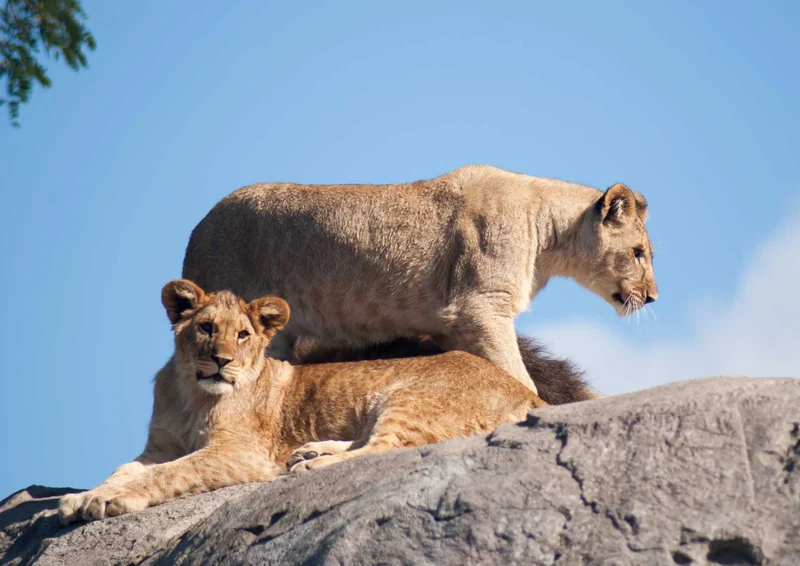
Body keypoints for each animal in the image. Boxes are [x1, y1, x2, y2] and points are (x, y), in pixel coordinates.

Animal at [59, 279, 555, 524]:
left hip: (410, 398)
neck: (190, 393)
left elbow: (169, 473)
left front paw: (111, 501)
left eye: (244, 335)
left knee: (388, 447)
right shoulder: (158, 446)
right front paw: (83, 499)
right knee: (371, 443)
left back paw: (312, 465)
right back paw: (311, 451)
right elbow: (124, 468)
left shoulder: (241, 453)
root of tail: (529, 393)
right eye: (205, 328)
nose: (221, 361)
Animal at [182, 165, 657, 393]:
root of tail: (197, 228)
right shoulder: (480, 307)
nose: (652, 297)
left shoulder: (454, 324)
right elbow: (517, 377)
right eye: (639, 253)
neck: (549, 235)